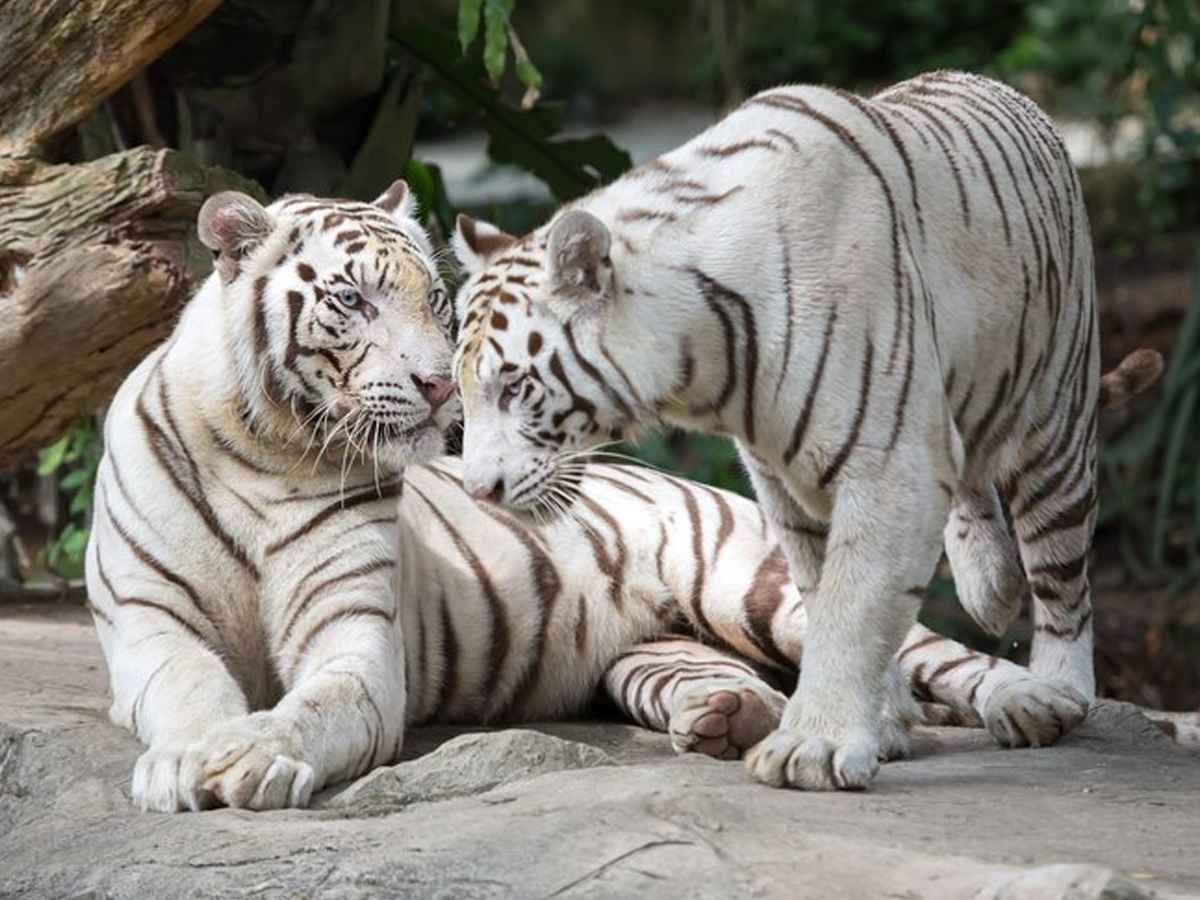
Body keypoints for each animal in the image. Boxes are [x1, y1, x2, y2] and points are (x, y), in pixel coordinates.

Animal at [84, 180, 1086, 813]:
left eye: (436, 302)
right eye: (353, 302)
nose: (440, 387)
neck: (265, 448)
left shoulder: (355, 635)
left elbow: (317, 705)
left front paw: (250, 755)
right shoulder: (150, 628)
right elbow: (190, 691)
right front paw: (189, 759)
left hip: (755, 586)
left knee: (923, 654)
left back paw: (1026, 705)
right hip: (649, 653)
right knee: (735, 679)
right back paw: (741, 722)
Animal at [450, 70, 1165, 791]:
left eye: (513, 386)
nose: (477, 491)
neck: (706, 363)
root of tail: (1002, 89)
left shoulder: (889, 466)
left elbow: (855, 611)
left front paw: (815, 748)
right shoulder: (788, 485)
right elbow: (827, 603)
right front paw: (880, 725)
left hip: (1056, 418)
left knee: (1062, 579)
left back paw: (1058, 690)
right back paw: (992, 585)